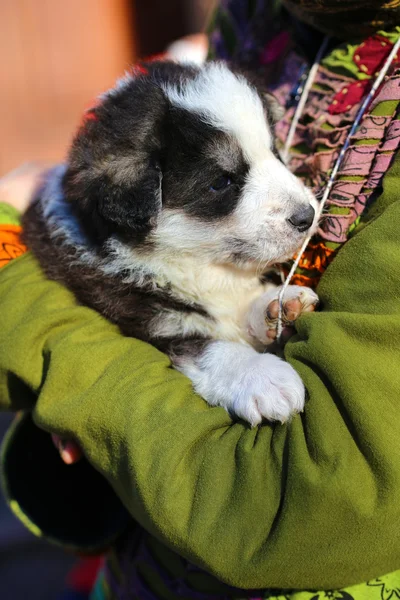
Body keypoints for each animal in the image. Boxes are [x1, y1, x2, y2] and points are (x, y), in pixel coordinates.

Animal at [25, 61, 318, 424]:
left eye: (274, 152)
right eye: (222, 181)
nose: (307, 216)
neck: (194, 264)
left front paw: (277, 305)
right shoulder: (146, 322)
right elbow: (208, 345)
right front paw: (262, 377)